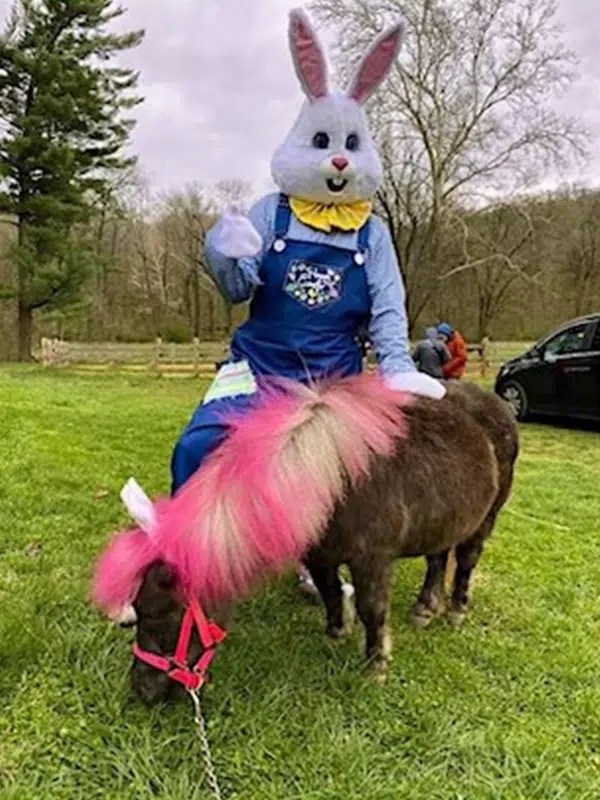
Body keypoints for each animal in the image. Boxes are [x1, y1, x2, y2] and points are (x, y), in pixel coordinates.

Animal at [92, 375, 518, 703]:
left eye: (166, 614)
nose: (142, 691)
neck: (333, 481)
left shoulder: (373, 559)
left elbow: (373, 610)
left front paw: (375, 666)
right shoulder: (319, 553)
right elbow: (329, 590)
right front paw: (335, 633)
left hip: (485, 519)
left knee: (465, 562)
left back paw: (456, 610)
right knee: (437, 559)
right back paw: (425, 609)